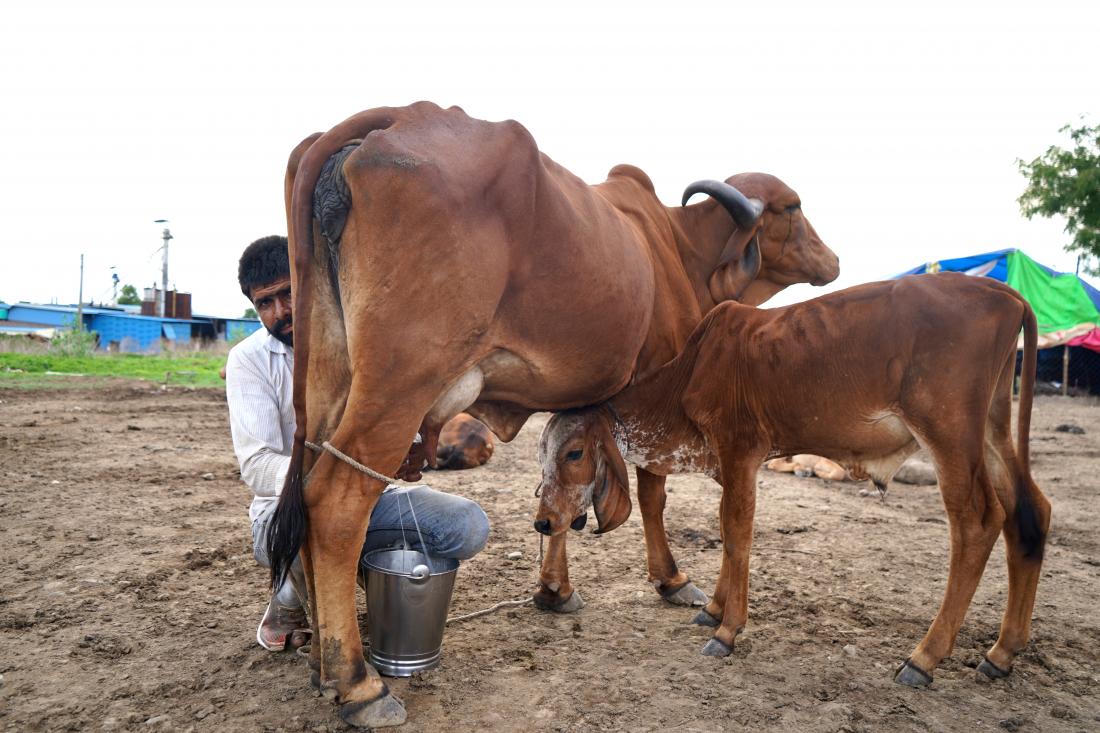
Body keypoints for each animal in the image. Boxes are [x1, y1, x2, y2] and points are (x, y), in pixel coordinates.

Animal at [536, 269, 1051, 686]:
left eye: (575, 453)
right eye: (542, 453)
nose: (544, 521)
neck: (689, 373)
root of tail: (1006, 294)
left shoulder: (740, 449)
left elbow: (736, 533)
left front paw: (728, 629)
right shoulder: (730, 462)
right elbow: (727, 535)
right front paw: (714, 610)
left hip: (948, 433)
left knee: (978, 523)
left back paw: (923, 658)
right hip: (992, 429)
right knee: (1030, 514)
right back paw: (1002, 653)